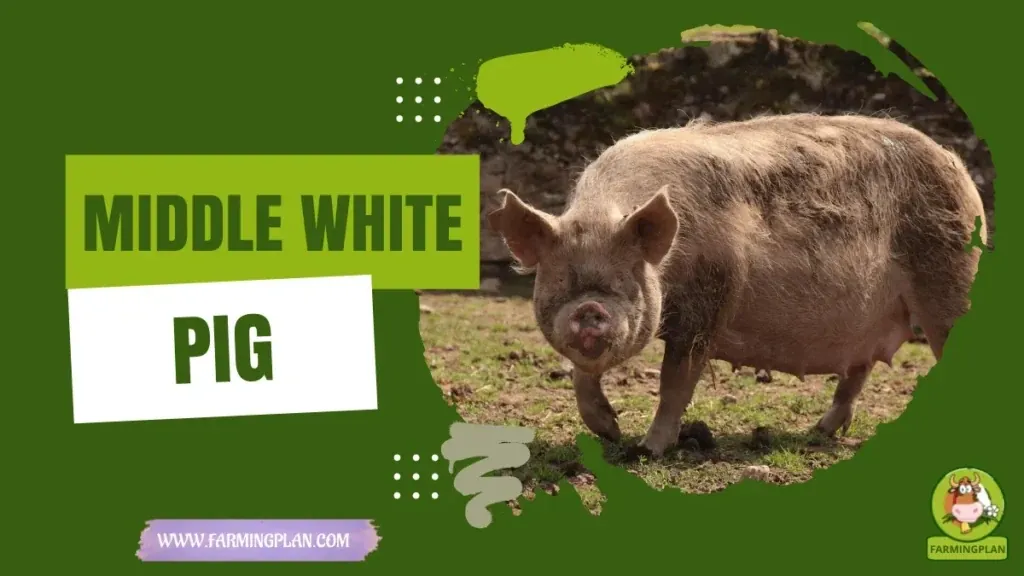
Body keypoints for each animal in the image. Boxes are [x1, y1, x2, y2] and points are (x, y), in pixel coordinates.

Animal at [486, 112, 988, 459]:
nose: (590, 309)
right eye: (561, 282)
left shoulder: (707, 307)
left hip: (949, 278)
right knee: (856, 372)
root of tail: (960, 171)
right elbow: (582, 373)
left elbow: (675, 383)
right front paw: (610, 432)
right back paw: (817, 433)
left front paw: (646, 450)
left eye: (623, 282)